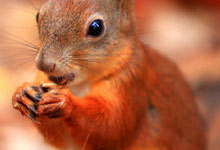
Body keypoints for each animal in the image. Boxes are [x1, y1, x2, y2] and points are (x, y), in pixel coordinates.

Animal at [11, 0, 206, 150]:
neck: (79, 86)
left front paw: (65, 102)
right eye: (38, 15)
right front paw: (22, 94)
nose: (44, 64)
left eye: (96, 27)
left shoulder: (131, 87)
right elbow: (57, 138)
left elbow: (111, 128)